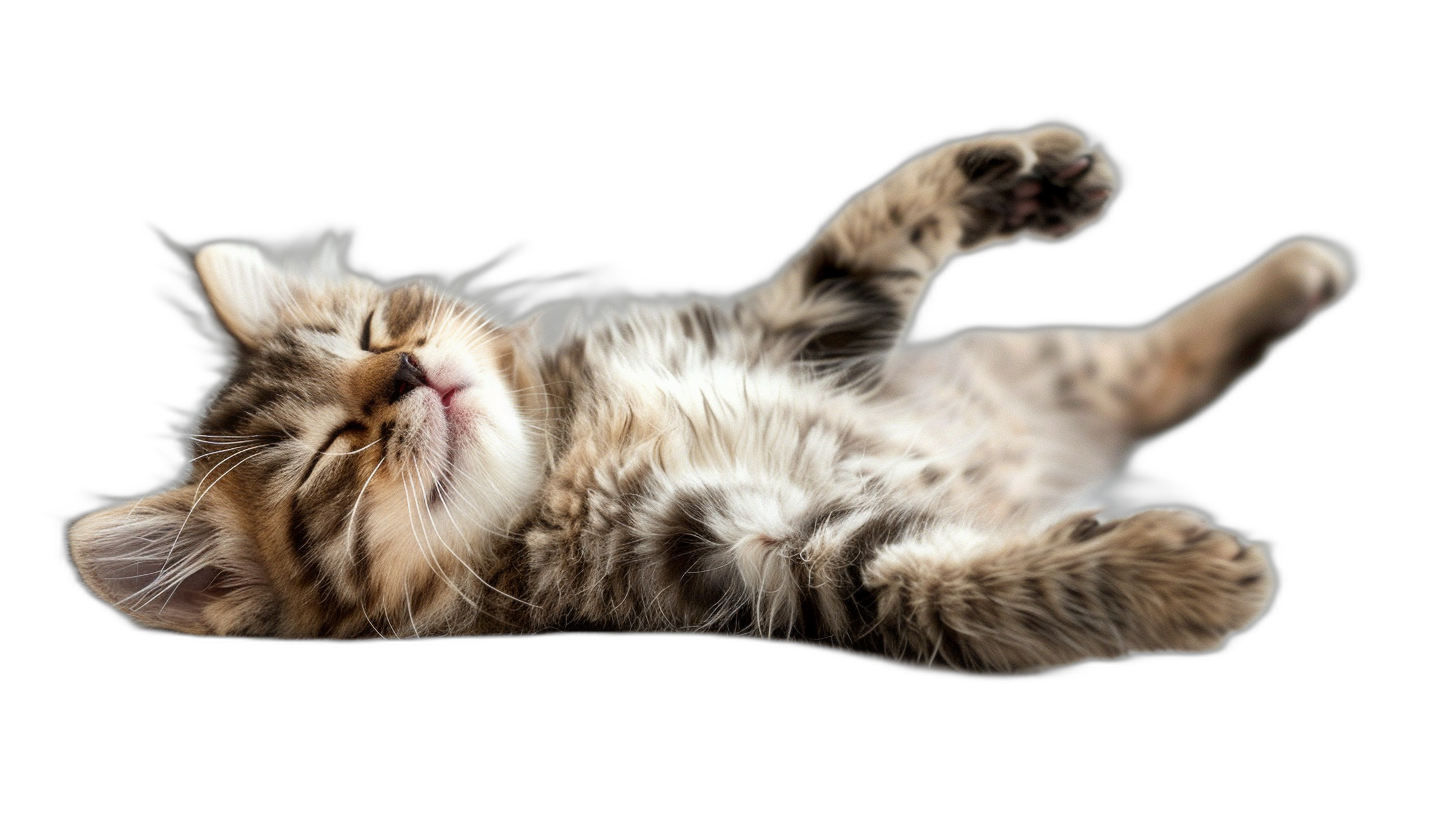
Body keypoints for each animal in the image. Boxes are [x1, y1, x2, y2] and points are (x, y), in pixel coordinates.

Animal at [65, 126, 1351, 676]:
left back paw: (1306, 267)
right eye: (333, 451)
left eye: (381, 329)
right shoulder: (775, 561)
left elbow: (877, 220)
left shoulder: (799, 330)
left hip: (1030, 366)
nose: (409, 375)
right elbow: (981, 585)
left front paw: (1017, 169)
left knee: (1156, 360)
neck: (570, 446)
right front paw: (1179, 578)